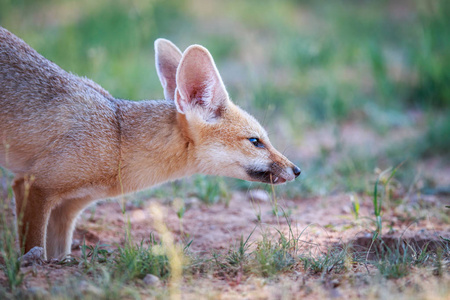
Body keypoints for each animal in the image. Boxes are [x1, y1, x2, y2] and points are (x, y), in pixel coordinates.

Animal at [0, 26, 302, 260]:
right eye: (256, 141)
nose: (297, 170)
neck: (118, 138)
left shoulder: (67, 208)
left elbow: (58, 255)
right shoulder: (33, 186)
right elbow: (34, 248)